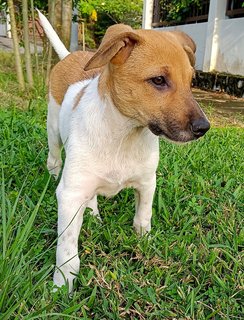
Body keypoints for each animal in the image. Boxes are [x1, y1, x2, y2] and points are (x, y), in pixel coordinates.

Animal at [37, 10, 210, 292]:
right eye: (158, 80)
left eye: (191, 82)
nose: (203, 128)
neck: (124, 135)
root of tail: (70, 55)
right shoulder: (70, 195)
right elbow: (67, 249)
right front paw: (62, 285)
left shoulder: (147, 182)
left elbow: (143, 217)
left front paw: (145, 244)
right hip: (53, 132)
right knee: (54, 160)